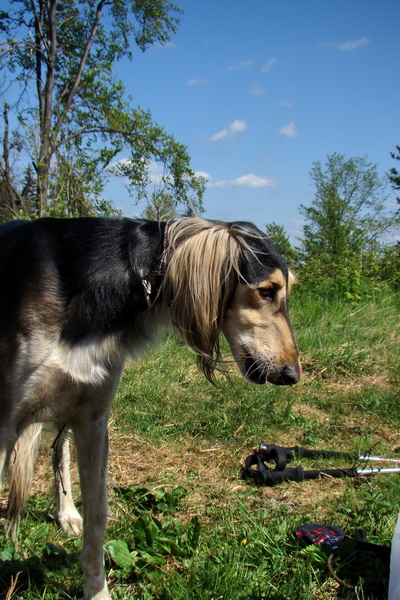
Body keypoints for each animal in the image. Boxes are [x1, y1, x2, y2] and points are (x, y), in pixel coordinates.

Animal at [0, 217, 300, 600]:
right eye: (266, 291)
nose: (293, 374)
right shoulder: (5, 423)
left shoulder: (92, 417)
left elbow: (97, 517)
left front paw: (97, 592)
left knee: (58, 451)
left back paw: (66, 512)